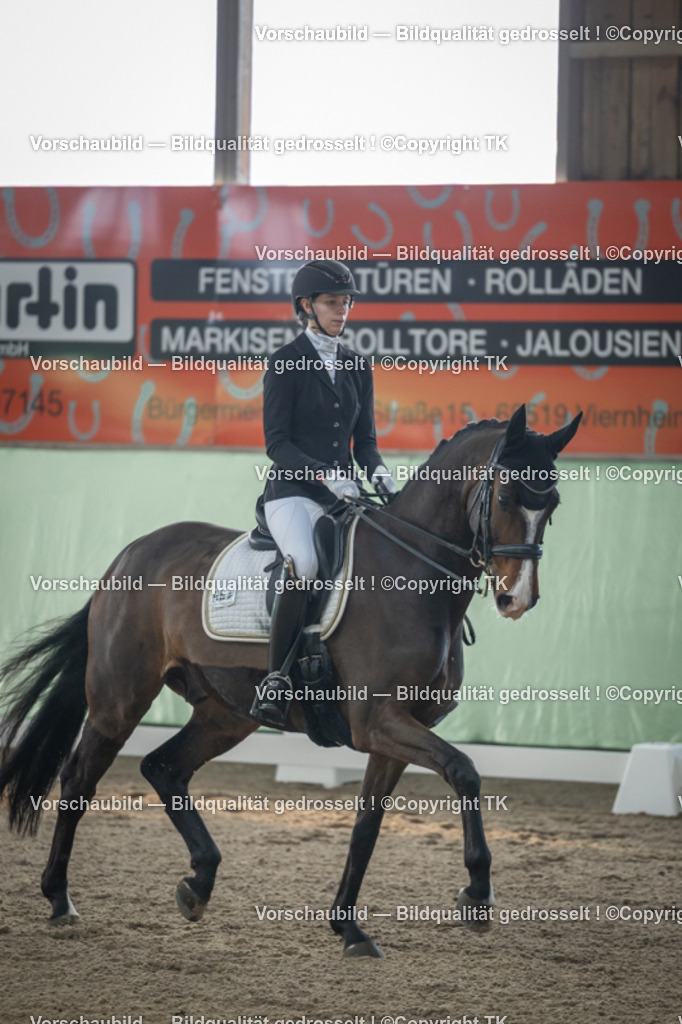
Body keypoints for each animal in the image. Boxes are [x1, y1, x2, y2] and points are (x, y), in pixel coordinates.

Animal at [0, 403, 581, 957]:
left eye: (552, 505)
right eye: (505, 495)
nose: (516, 598)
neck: (413, 576)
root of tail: (128, 555)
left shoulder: (395, 732)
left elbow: (367, 827)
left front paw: (348, 928)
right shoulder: (378, 721)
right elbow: (465, 771)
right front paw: (477, 895)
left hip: (226, 714)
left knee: (163, 767)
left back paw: (198, 883)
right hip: (120, 698)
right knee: (79, 779)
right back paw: (60, 900)